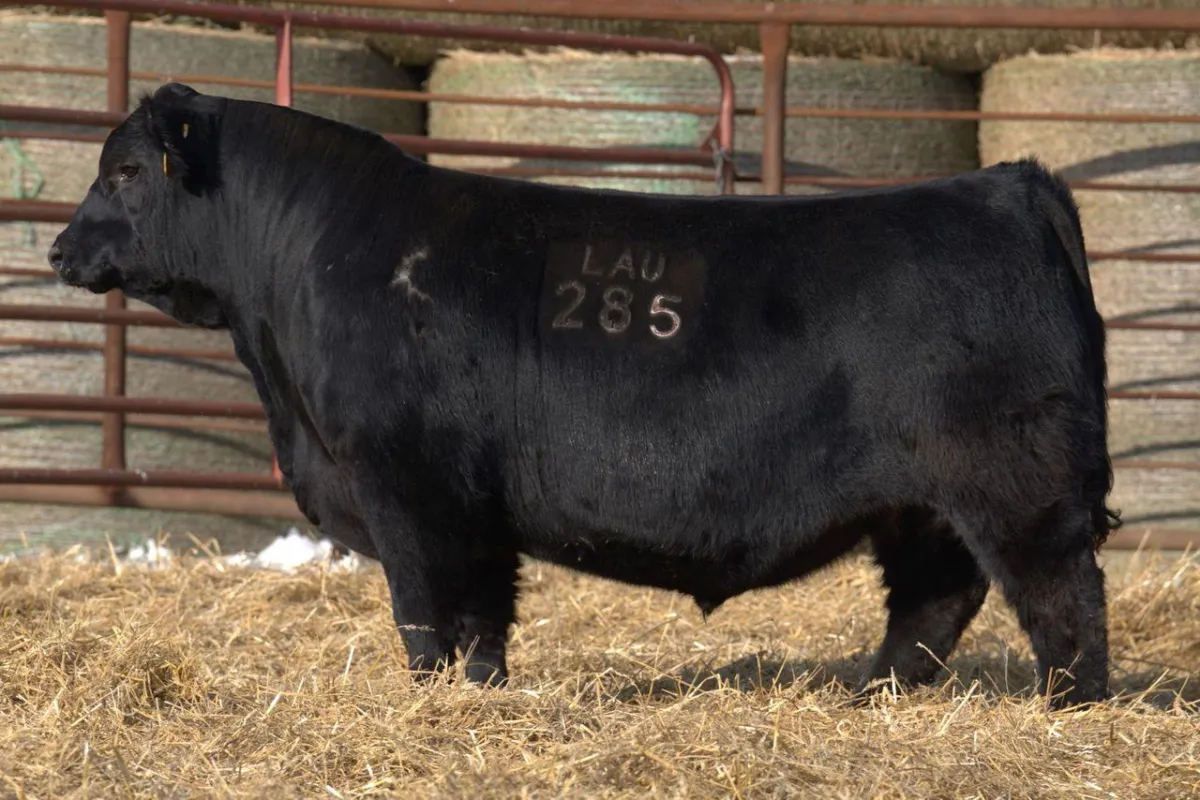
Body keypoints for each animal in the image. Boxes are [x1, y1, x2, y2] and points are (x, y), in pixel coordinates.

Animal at [49, 83, 1118, 709]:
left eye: (127, 170)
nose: (59, 248)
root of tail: (1008, 184)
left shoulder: (411, 487)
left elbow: (427, 611)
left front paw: (435, 700)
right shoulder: (470, 509)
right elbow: (483, 616)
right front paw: (482, 697)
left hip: (1016, 482)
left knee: (1060, 595)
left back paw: (1070, 705)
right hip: (923, 504)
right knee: (935, 601)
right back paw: (869, 694)